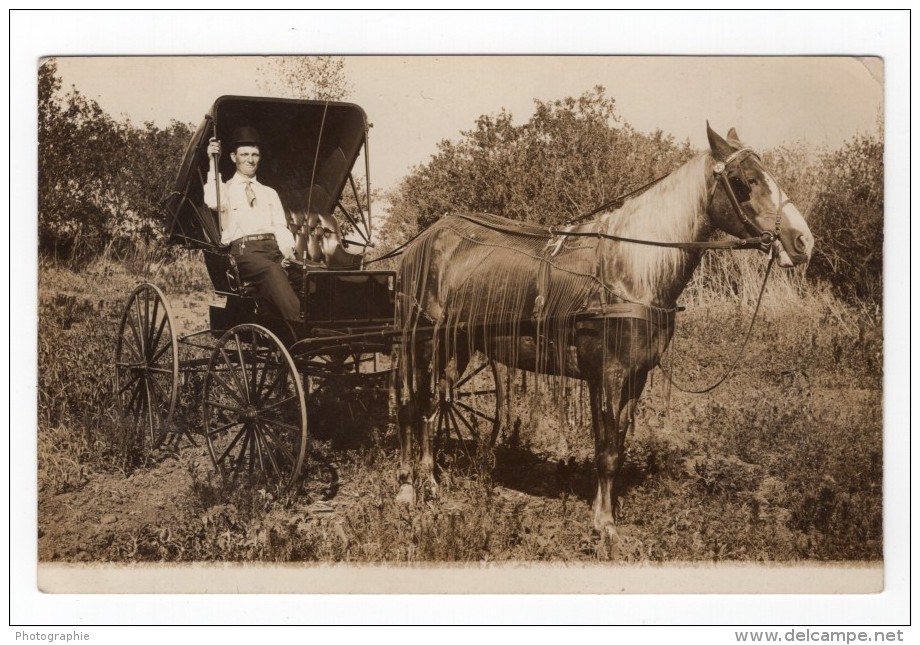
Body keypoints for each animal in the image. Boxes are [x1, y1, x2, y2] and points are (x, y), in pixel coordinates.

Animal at [392, 124, 816, 532]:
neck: (630, 273)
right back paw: (408, 488)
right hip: (420, 342)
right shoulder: (610, 373)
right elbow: (608, 450)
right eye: (746, 180)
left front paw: (600, 511)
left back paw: (430, 481)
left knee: (436, 402)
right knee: (412, 405)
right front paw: (606, 526)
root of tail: (426, 238)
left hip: (455, 345)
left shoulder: (632, 376)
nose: (802, 242)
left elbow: (615, 443)